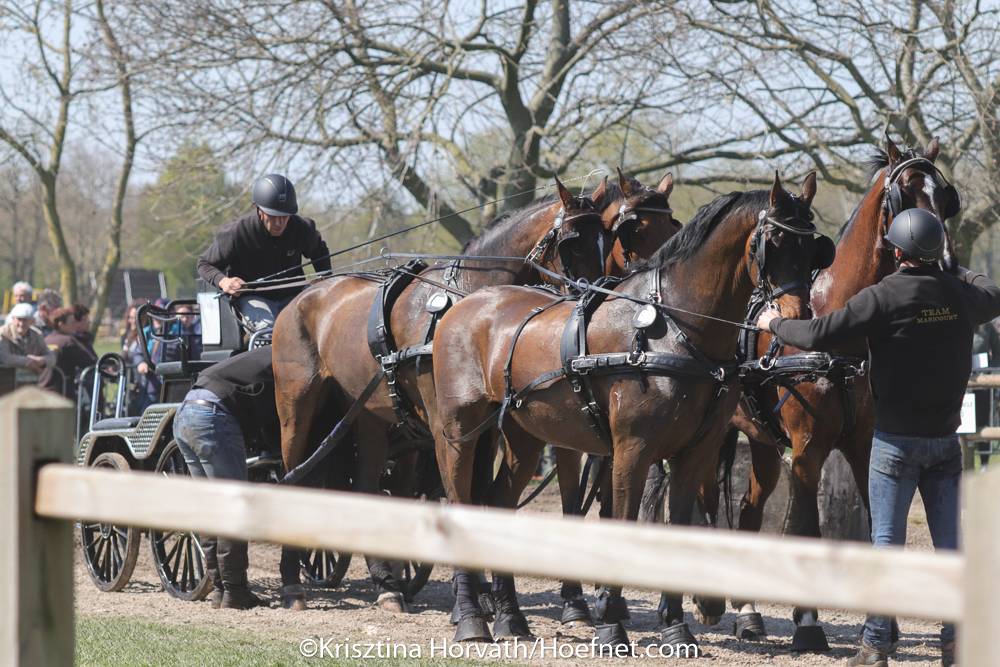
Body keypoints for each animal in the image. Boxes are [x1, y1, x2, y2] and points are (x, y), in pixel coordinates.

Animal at [271, 175, 677, 612]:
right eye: (571, 242)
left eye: (608, 236)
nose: (597, 292)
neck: (471, 301)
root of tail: (303, 295)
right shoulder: (449, 425)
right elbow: (463, 493)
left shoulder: (490, 429)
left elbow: (485, 492)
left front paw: (487, 589)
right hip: (296, 406)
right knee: (292, 473)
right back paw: (292, 583)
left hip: (367, 413)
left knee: (365, 485)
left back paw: (386, 584)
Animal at [429, 173, 828, 648]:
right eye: (774, 242)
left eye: (814, 248)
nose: (797, 319)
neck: (674, 329)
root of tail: (463, 305)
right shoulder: (632, 449)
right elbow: (621, 521)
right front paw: (610, 622)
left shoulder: (694, 452)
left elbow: (678, 524)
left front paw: (675, 625)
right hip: (460, 431)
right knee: (459, 499)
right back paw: (471, 616)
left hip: (524, 438)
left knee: (498, 502)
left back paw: (510, 616)